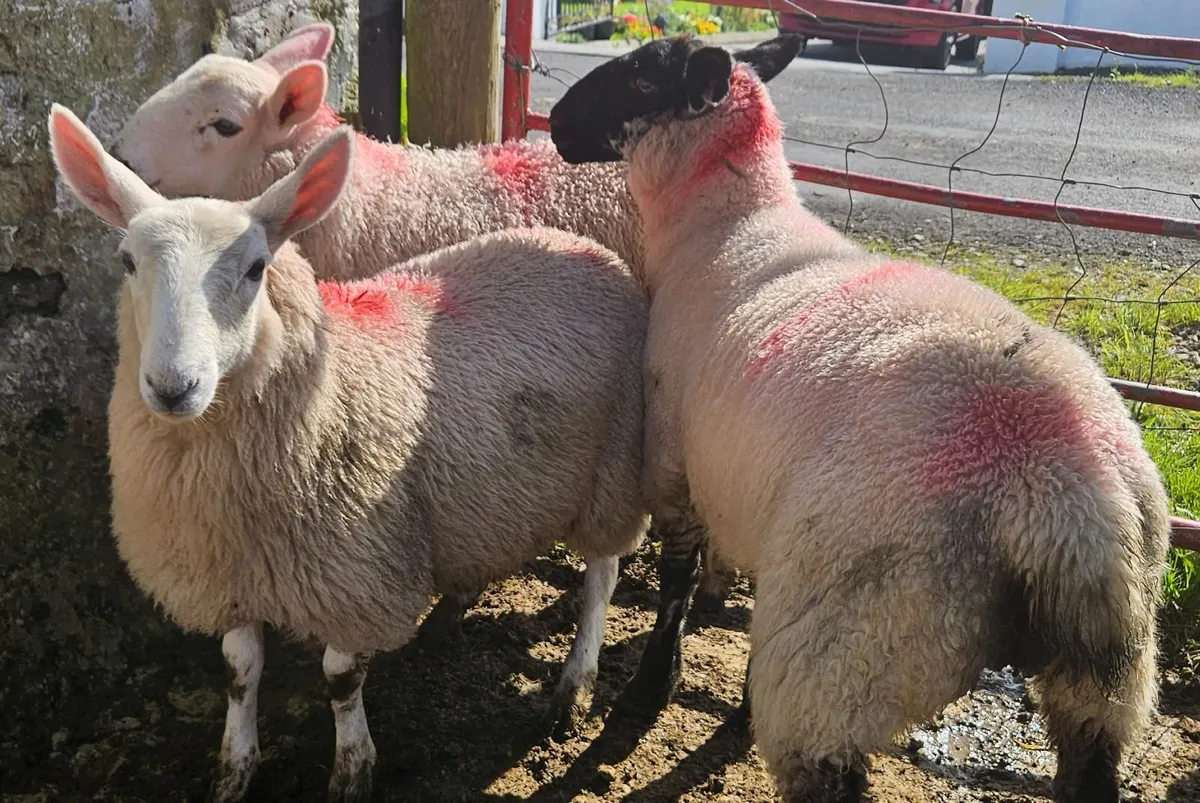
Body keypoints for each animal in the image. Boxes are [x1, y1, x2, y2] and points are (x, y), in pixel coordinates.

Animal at [50, 105, 650, 802]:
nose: (175, 387)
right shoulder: (226, 572)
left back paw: (575, 683)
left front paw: (352, 769)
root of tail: (581, 247)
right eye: (126, 262)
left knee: (603, 575)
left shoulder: (358, 575)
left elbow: (341, 679)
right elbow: (238, 671)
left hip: (614, 467)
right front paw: (234, 769)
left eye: (256, 268)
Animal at [547, 33, 1171, 803]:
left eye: (640, 76)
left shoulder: (676, 462)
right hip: (1107, 675)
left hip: (855, 638)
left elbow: (676, 583)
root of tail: (1067, 496)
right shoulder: (762, 500)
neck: (725, 226)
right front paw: (731, 694)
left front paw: (649, 691)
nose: (555, 122)